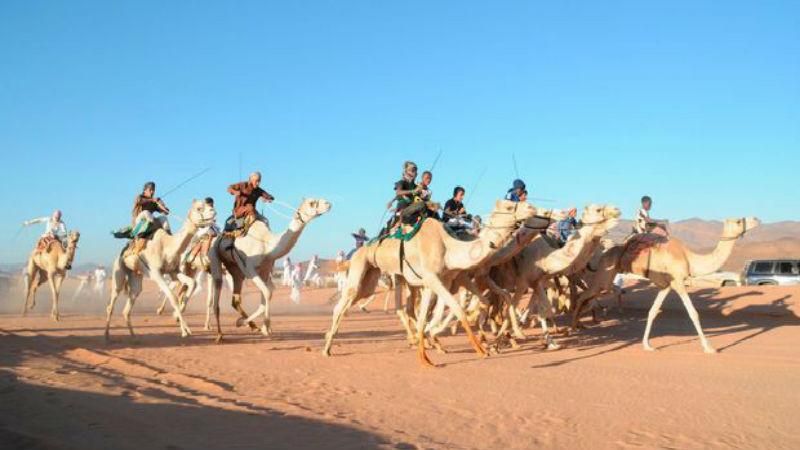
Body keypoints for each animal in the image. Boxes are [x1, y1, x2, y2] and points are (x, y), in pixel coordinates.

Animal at [105, 200, 212, 342]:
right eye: (199, 208)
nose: (213, 210)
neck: (168, 246)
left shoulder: (173, 271)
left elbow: (192, 283)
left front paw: (182, 319)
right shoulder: (156, 273)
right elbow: (173, 297)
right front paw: (185, 331)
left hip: (136, 277)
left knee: (128, 307)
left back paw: (133, 336)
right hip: (119, 272)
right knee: (111, 304)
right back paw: (106, 336)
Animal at [209, 199, 332, 342]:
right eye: (312, 203)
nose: (328, 203)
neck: (267, 245)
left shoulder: (265, 270)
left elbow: (267, 295)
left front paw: (257, 326)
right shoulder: (249, 268)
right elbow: (268, 292)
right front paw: (263, 327)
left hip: (235, 270)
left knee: (235, 300)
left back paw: (250, 325)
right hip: (216, 257)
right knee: (217, 291)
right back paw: (219, 334)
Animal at [322, 200, 536, 366]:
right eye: (509, 206)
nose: (532, 208)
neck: (450, 246)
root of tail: (356, 252)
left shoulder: (439, 280)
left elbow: (426, 316)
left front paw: (425, 357)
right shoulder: (436, 278)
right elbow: (457, 308)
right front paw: (482, 350)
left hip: (377, 277)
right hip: (362, 269)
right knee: (344, 305)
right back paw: (326, 348)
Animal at [564, 216, 760, 354]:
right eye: (738, 220)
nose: (757, 218)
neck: (689, 258)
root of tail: (604, 253)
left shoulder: (666, 286)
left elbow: (652, 312)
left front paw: (647, 345)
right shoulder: (678, 282)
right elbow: (693, 313)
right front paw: (709, 348)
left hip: (604, 279)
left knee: (586, 297)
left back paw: (579, 324)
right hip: (604, 277)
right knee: (583, 296)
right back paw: (573, 327)